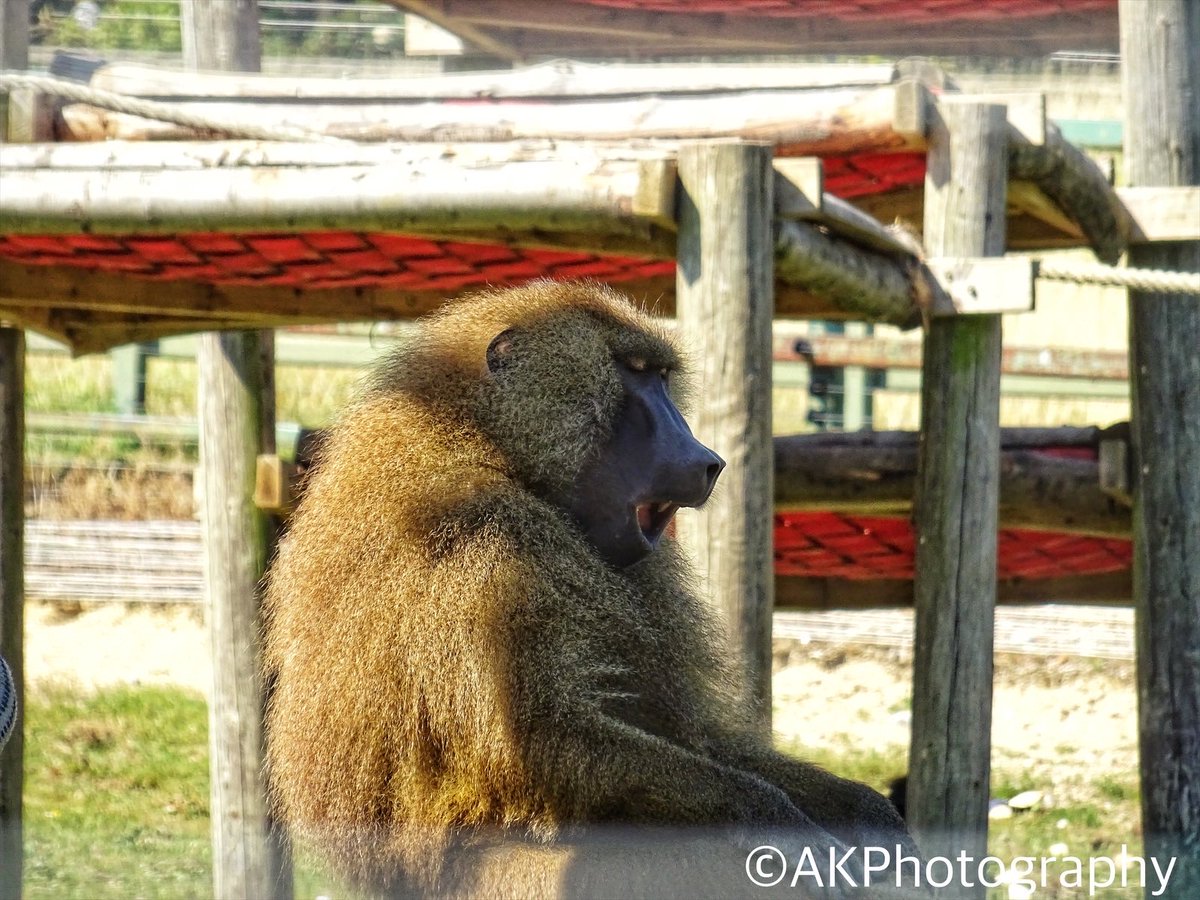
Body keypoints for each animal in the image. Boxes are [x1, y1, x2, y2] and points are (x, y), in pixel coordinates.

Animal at [262, 280, 922, 899]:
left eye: (660, 377)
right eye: (632, 373)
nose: (706, 460)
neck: (488, 443)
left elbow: (692, 734)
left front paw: (869, 815)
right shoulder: (479, 538)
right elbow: (541, 743)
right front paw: (775, 823)